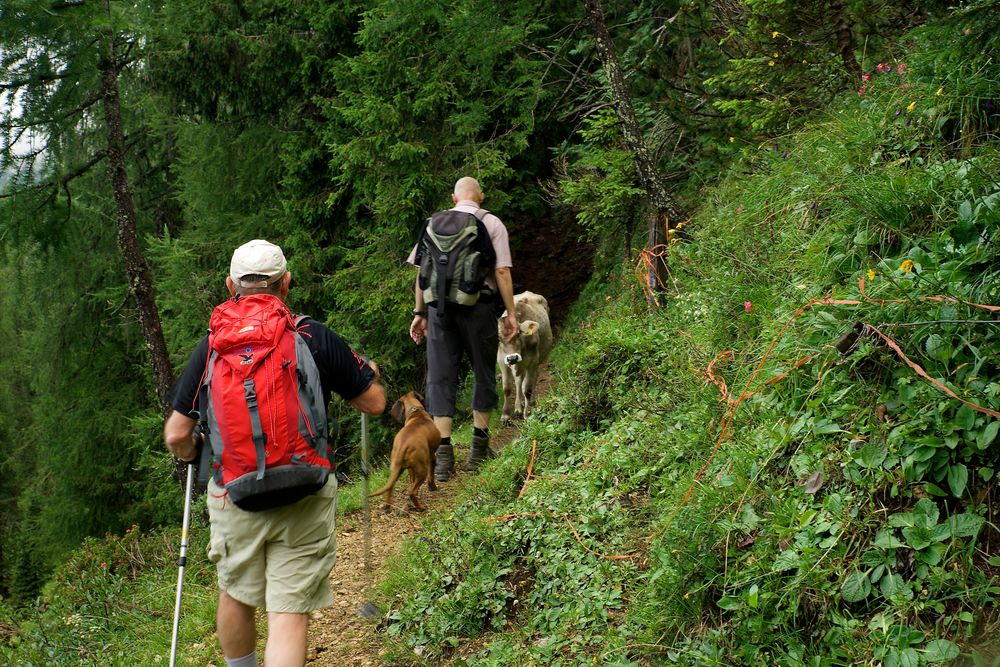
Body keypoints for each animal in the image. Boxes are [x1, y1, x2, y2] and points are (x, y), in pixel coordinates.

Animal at [500, 290, 556, 422]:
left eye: (518, 334)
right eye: (499, 338)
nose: (512, 358)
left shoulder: (533, 360)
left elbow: (527, 389)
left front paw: (528, 414)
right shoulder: (502, 361)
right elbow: (507, 388)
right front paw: (505, 415)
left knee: (534, 377)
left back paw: (530, 402)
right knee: (518, 381)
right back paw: (518, 407)